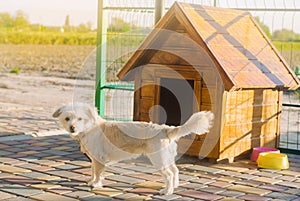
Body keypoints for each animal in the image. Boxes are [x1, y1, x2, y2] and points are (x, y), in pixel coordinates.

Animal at [53, 103, 213, 194]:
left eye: (80, 119)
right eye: (67, 118)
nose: (72, 127)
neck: (90, 127)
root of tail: (165, 129)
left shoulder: (99, 159)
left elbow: (98, 173)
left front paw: (96, 184)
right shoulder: (94, 159)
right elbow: (93, 171)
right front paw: (91, 181)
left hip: (159, 160)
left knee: (168, 174)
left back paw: (167, 191)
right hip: (167, 159)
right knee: (175, 171)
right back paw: (174, 187)